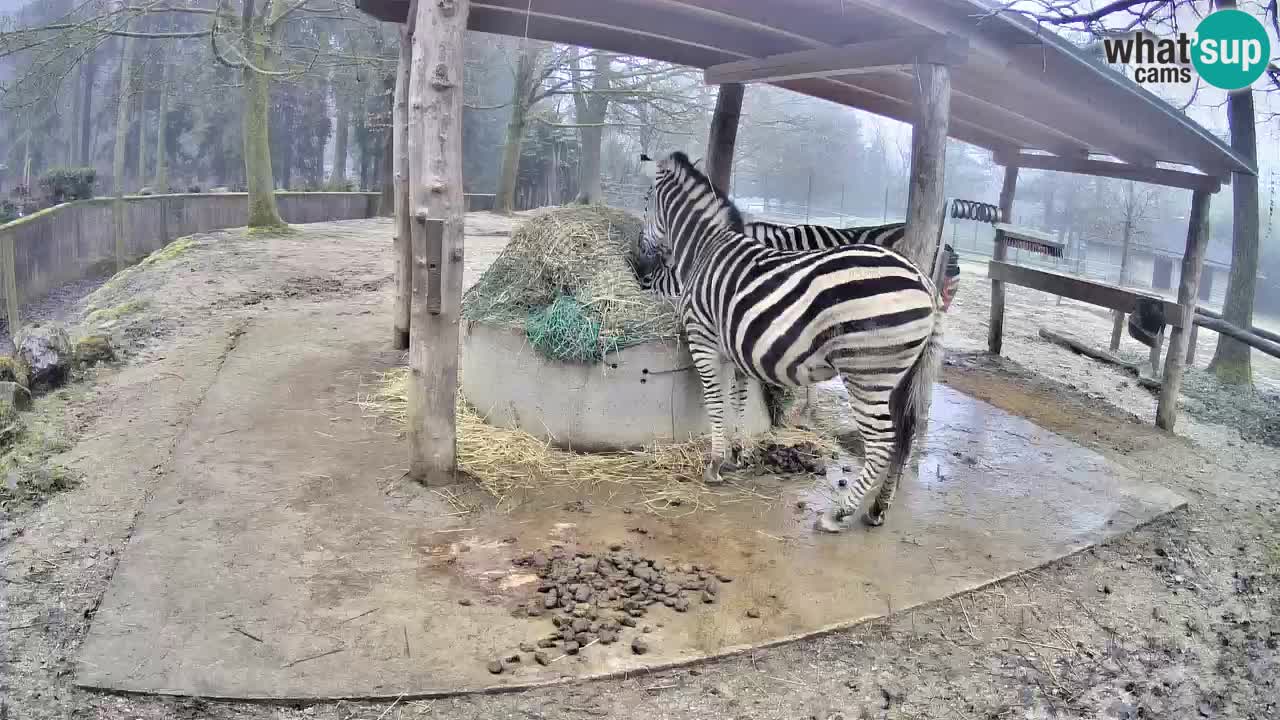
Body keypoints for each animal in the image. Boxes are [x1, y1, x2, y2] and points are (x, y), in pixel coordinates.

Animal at [634, 151, 943, 532]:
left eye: (646, 201)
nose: (638, 262)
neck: (704, 249)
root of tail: (924, 280)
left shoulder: (702, 337)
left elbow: (715, 402)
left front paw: (715, 463)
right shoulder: (738, 348)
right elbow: (738, 401)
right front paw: (737, 454)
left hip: (867, 373)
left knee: (883, 441)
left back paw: (839, 513)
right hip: (901, 376)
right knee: (904, 437)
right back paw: (877, 509)